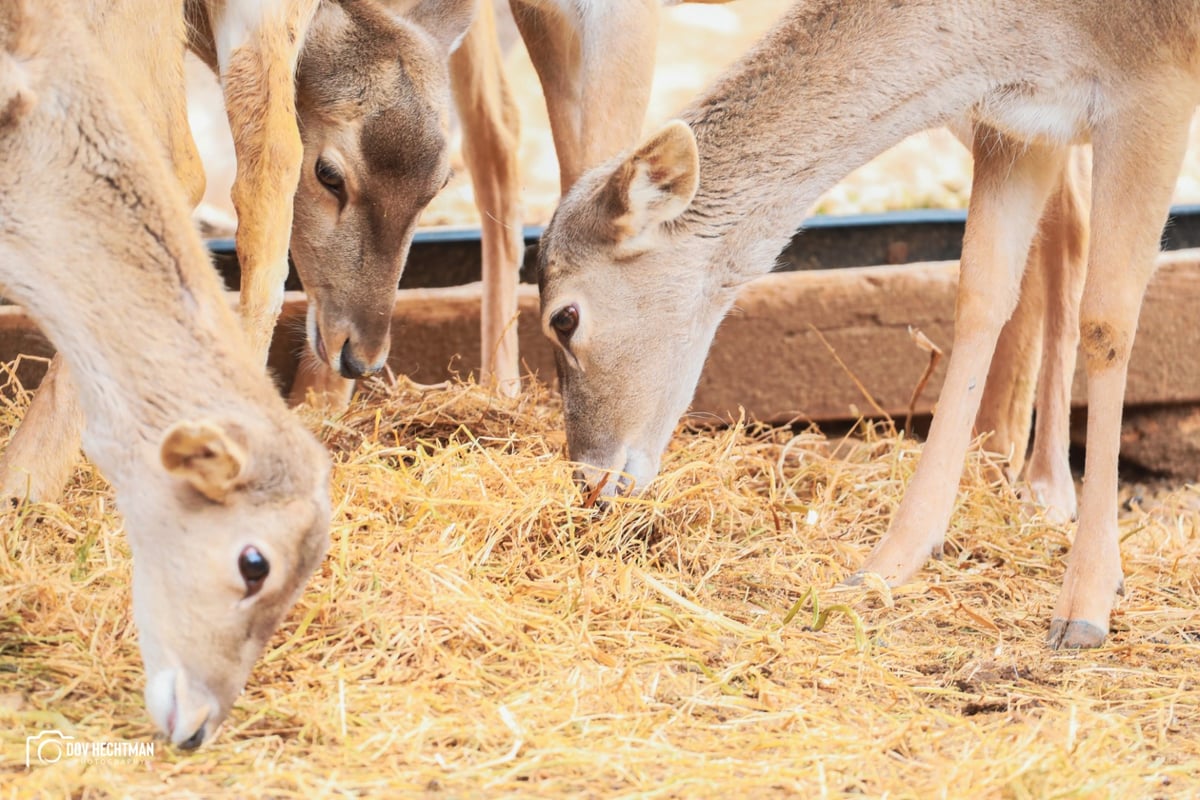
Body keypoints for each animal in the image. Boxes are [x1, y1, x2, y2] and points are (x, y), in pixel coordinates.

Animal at [537, 0, 1200, 647]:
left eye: (564, 318)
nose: (588, 480)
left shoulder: (1155, 84)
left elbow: (1107, 321)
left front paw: (1086, 604)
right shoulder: (1019, 126)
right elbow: (981, 294)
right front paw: (886, 565)